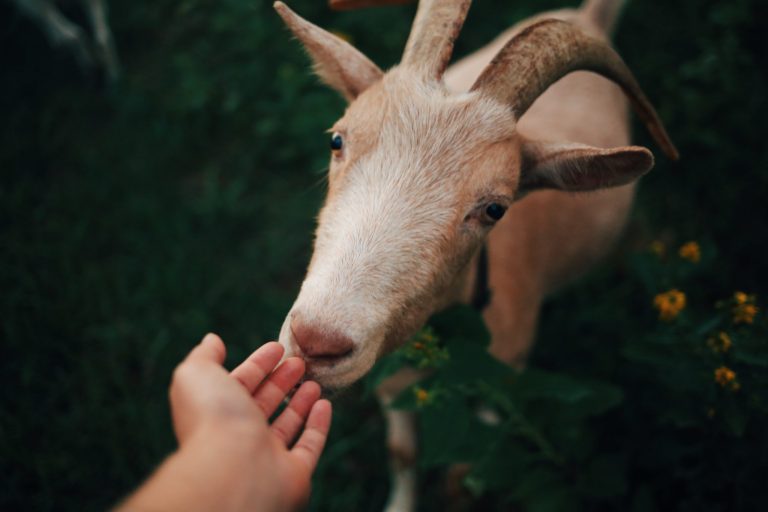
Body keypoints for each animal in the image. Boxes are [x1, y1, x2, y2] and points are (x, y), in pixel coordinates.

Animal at [274, 0, 677, 509]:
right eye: (337, 140)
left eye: (494, 208)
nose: (316, 342)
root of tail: (589, 16)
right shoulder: (389, 378)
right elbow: (403, 452)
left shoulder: (504, 380)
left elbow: (467, 475)